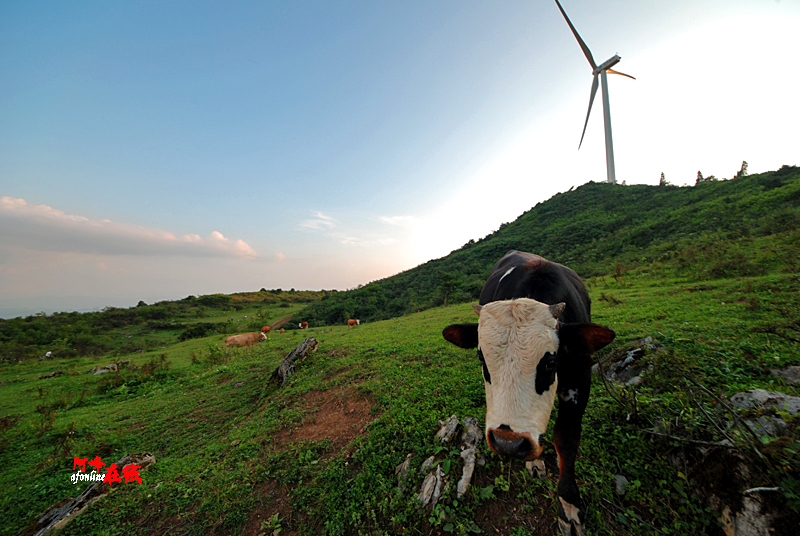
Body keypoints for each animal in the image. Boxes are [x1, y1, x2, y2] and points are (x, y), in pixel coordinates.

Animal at [440, 251, 616, 536]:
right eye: (482, 358)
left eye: (550, 362)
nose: (507, 443)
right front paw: (535, 463)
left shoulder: (580, 378)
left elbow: (566, 439)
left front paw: (569, 505)